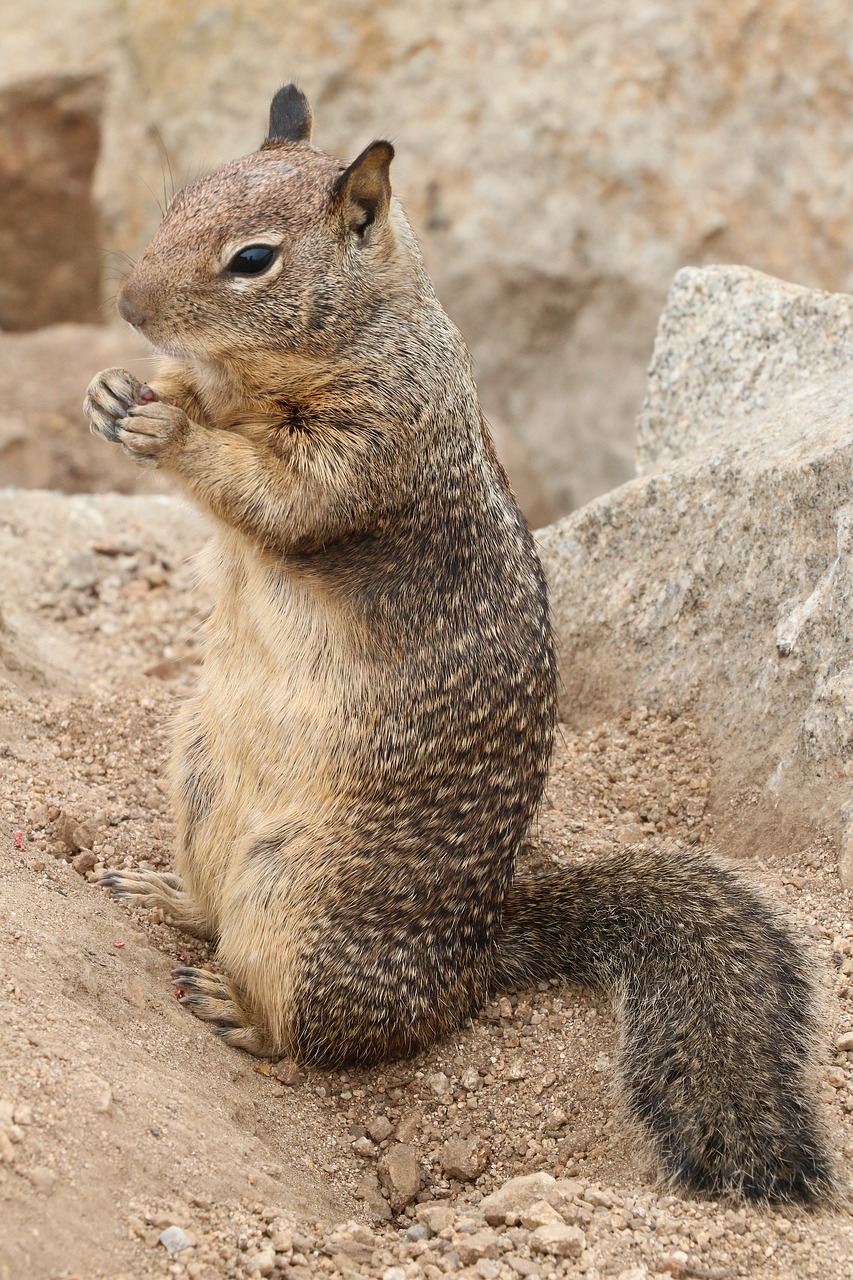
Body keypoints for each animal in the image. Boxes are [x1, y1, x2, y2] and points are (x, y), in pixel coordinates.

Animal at [84, 85, 829, 1203]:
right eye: (177, 200)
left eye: (253, 259)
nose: (128, 303)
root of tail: (475, 956)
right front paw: (121, 393)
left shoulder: (375, 443)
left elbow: (280, 492)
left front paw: (165, 429)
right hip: (197, 780)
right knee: (211, 908)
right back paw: (163, 888)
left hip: (307, 904)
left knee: (310, 1028)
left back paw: (237, 1007)